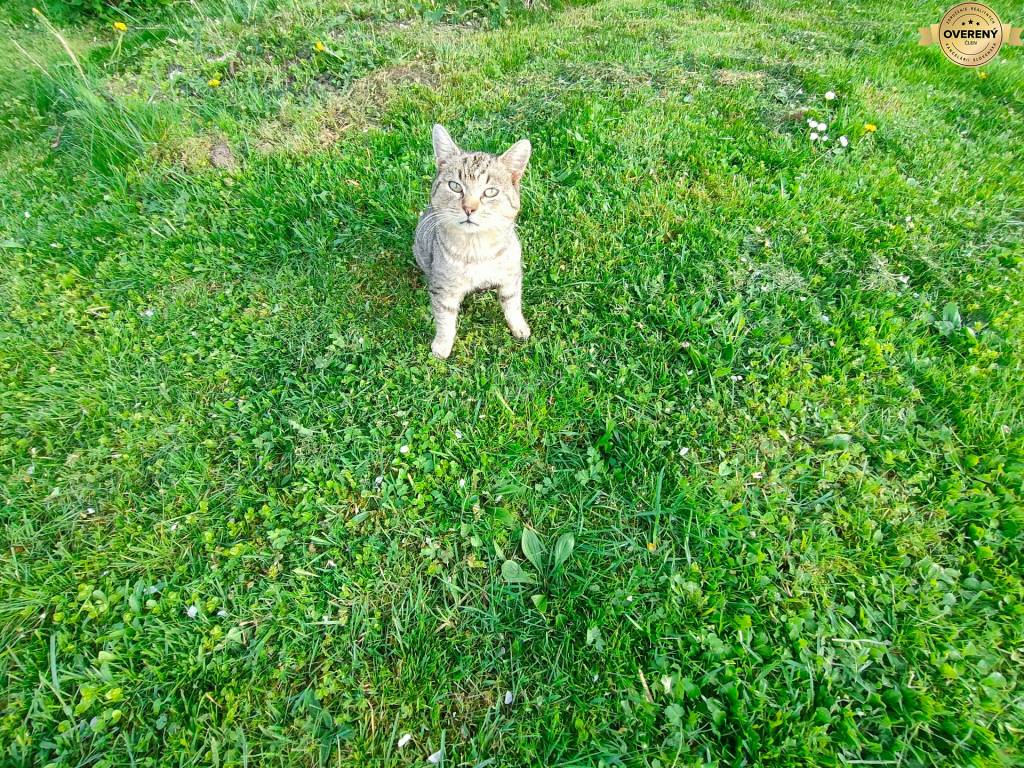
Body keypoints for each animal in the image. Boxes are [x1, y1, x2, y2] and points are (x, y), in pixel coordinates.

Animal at [411, 123, 532, 360]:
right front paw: (442, 345)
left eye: (490, 192)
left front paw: (519, 327)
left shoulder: (511, 277)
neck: (477, 250)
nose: (469, 208)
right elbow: (445, 320)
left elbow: (513, 305)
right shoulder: (444, 289)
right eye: (455, 186)